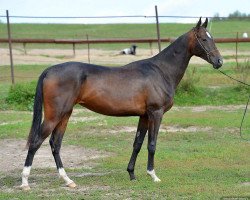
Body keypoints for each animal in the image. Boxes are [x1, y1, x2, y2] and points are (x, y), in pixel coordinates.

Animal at [20, 18, 223, 190]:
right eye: (204, 39)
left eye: (211, 37)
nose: (219, 61)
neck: (160, 71)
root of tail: (49, 70)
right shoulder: (156, 113)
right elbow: (152, 144)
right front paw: (153, 175)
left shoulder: (144, 116)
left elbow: (137, 144)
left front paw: (132, 174)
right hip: (54, 115)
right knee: (36, 142)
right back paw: (25, 182)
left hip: (65, 114)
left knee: (55, 143)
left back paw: (68, 180)